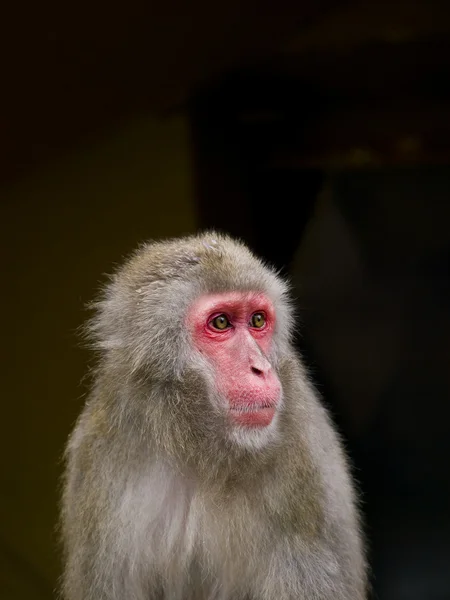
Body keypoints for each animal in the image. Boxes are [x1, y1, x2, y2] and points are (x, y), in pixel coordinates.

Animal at [59, 232, 368, 596]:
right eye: (221, 322)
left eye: (257, 320)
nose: (260, 368)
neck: (197, 446)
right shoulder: (100, 452)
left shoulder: (305, 466)